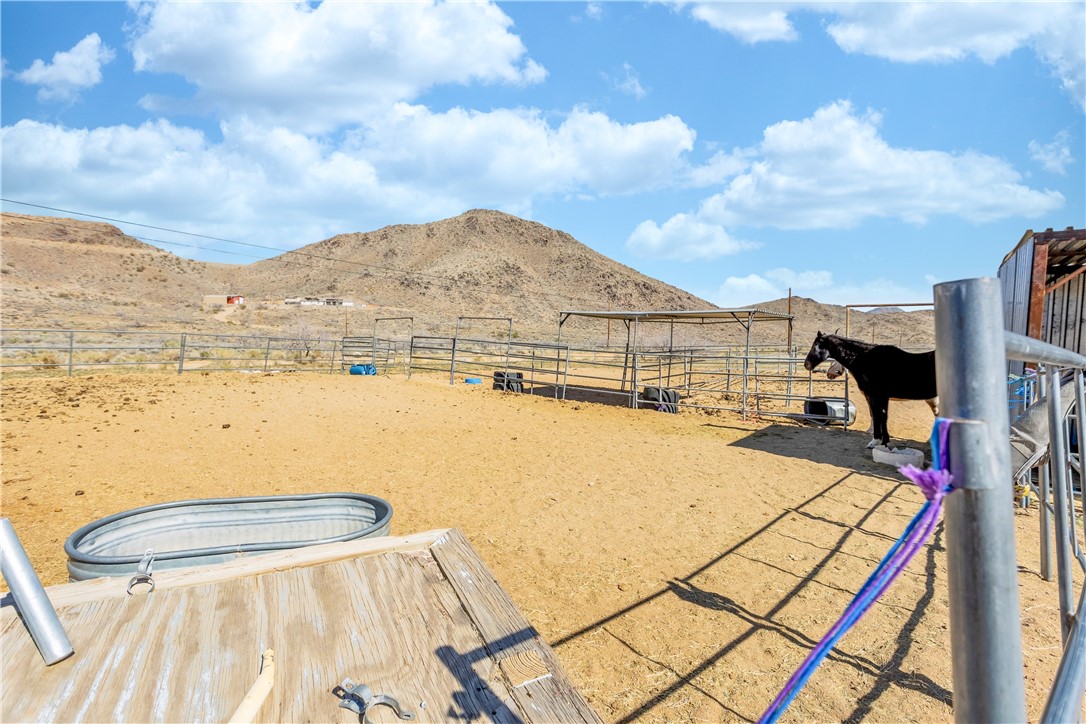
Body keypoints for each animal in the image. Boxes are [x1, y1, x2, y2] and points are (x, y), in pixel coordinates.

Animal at [804, 331, 937, 448]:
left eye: (816, 345)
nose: (806, 364)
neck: (866, 359)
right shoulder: (880, 397)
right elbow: (881, 416)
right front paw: (884, 441)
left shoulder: (875, 395)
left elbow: (878, 415)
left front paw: (876, 441)